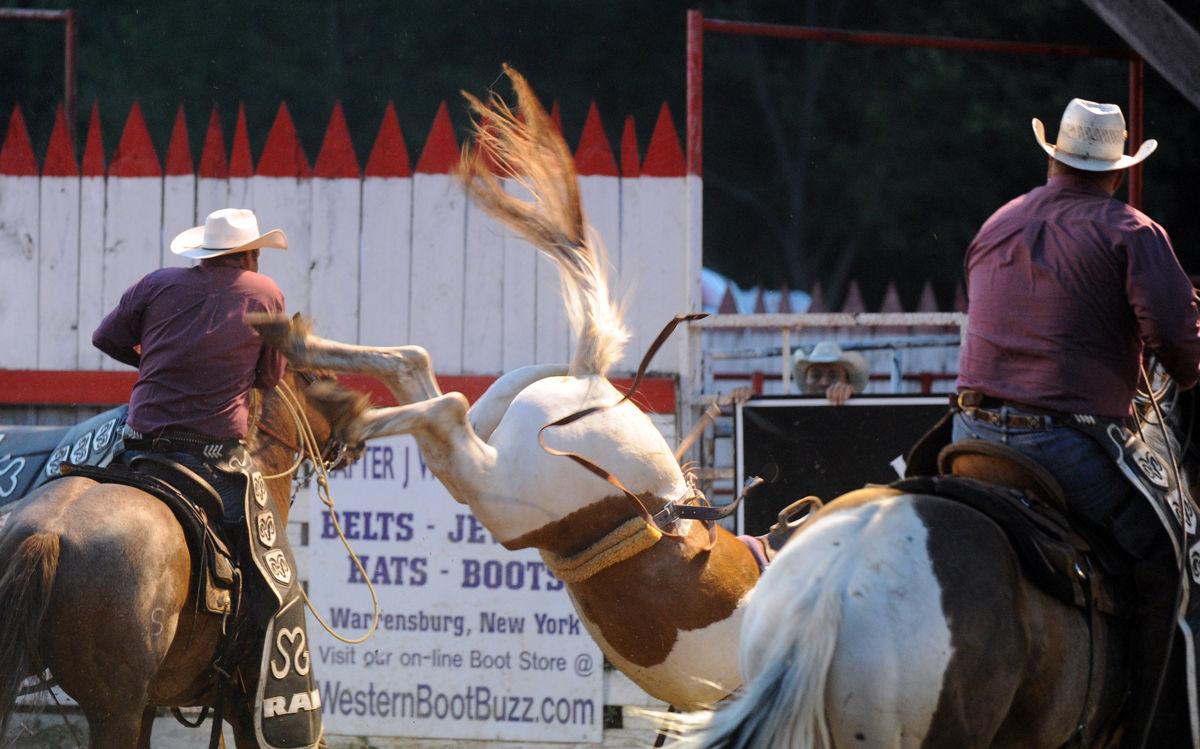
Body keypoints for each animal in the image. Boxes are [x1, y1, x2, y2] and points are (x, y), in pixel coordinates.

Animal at [0, 372, 364, 744]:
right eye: (322, 376)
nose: (357, 430)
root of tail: (50, 532)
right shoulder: (244, 713)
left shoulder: (155, 704)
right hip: (115, 711)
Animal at [247, 63, 758, 705]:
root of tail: (592, 380)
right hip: (501, 491)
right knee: (443, 404)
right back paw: (343, 409)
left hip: (492, 441)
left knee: (417, 369)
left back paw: (305, 355)